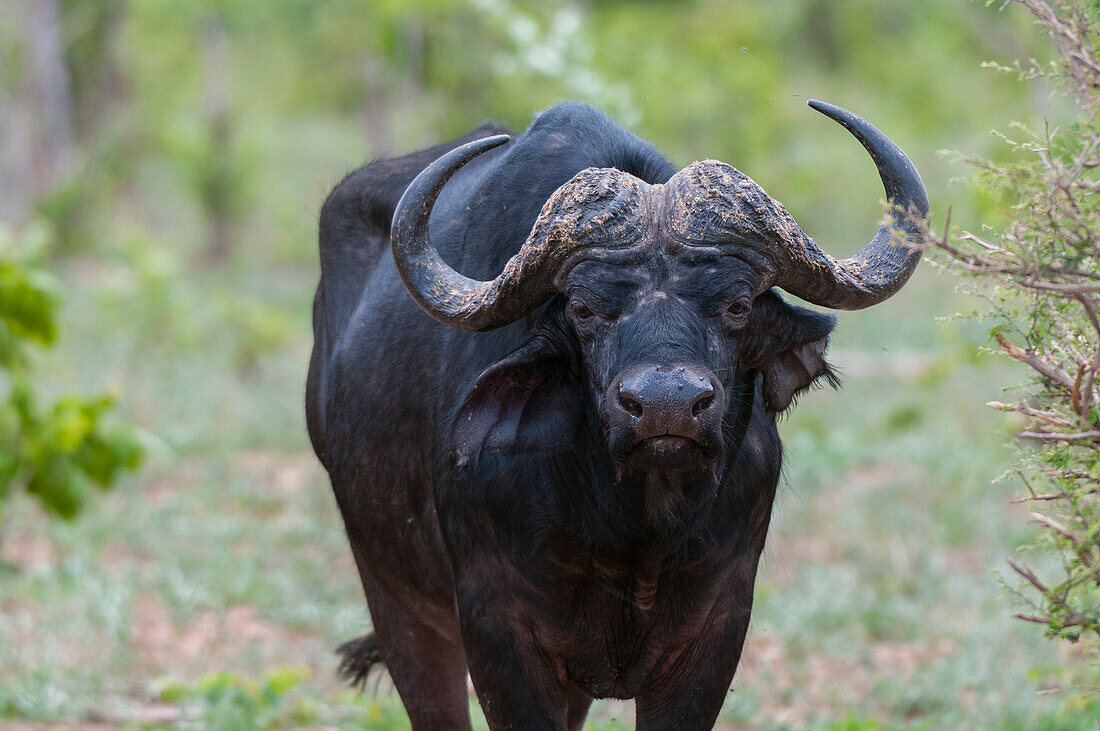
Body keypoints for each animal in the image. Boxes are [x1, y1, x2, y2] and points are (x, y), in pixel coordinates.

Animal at [305, 98, 924, 729]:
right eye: (583, 309)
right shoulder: (495, 631)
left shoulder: (718, 627)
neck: (632, 529)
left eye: (738, 304)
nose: (666, 405)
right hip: (396, 600)